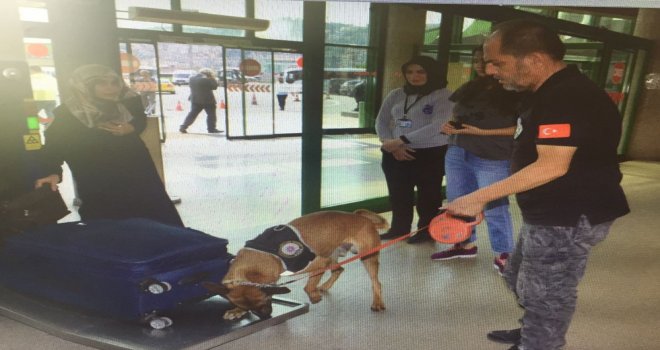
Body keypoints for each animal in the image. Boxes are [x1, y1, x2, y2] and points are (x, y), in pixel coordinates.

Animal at [204, 209, 390, 322]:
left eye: (265, 301)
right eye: (247, 307)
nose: (266, 317)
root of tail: (361, 217)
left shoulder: (319, 262)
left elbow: (308, 286)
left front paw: (313, 297)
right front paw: (236, 311)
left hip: (366, 257)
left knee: (377, 282)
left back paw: (377, 302)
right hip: (331, 254)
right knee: (338, 270)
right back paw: (325, 286)